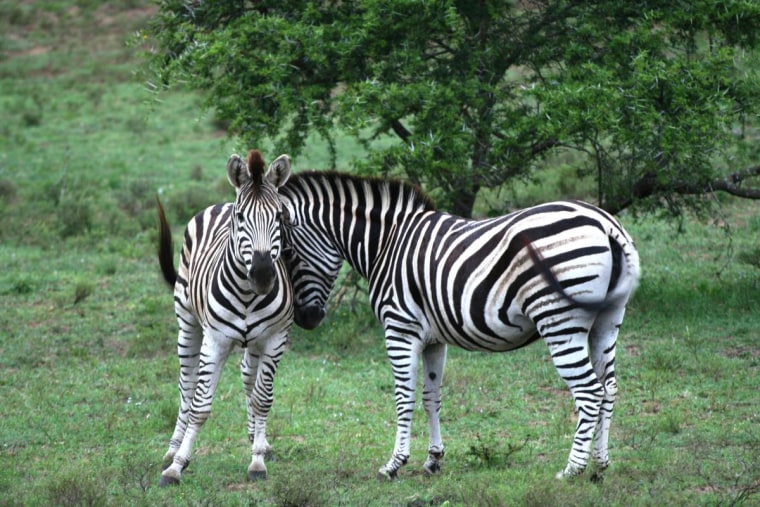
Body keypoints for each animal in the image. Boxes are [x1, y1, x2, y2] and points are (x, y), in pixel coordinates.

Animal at [155, 150, 293, 486]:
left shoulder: (275, 339)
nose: (262, 276)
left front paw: (257, 460)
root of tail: (221, 204)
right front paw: (176, 467)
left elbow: (262, 399)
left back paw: (258, 440)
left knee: (248, 380)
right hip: (187, 325)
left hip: (254, 344)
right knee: (186, 388)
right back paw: (172, 448)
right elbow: (199, 406)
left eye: (279, 217)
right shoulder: (215, 341)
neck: (246, 294)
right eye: (241, 218)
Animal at [278, 171, 640, 480]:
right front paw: (433, 460)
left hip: (560, 322)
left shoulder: (400, 328)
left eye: (288, 253)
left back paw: (572, 470)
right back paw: (600, 465)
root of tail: (606, 224)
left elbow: (403, 398)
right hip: (608, 320)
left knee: (590, 392)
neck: (385, 244)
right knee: (609, 388)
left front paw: (393, 465)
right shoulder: (433, 339)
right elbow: (431, 397)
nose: (305, 320)